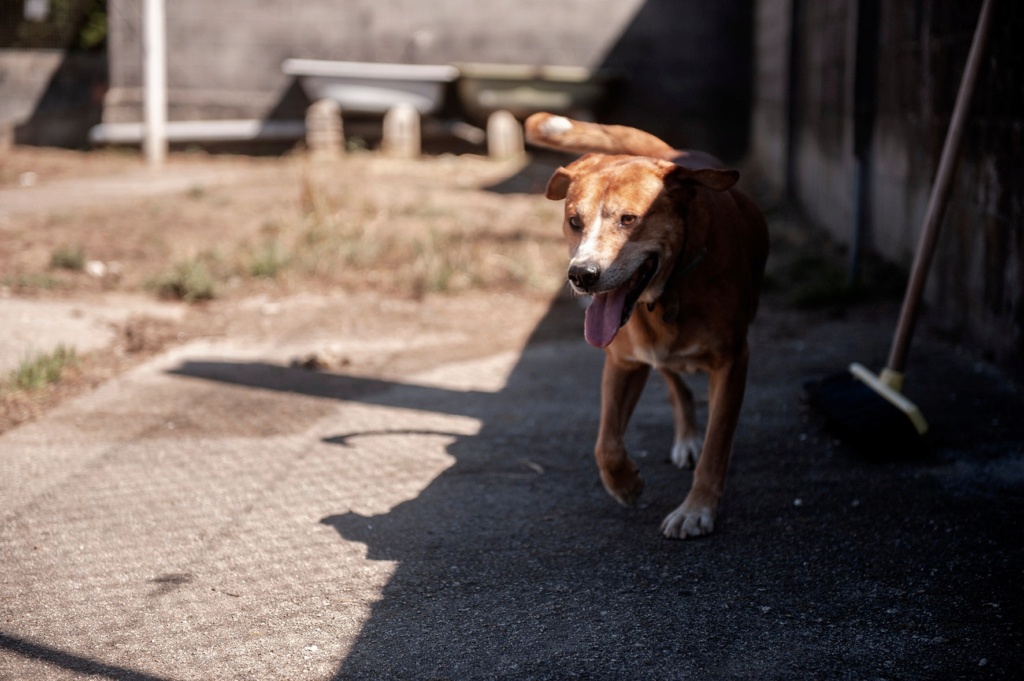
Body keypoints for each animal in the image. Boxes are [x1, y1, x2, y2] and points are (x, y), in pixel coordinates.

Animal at [528, 112, 770, 536]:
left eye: (629, 220)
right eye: (574, 221)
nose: (582, 275)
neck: (668, 293)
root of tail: (672, 157)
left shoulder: (732, 362)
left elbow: (717, 445)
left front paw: (696, 508)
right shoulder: (623, 363)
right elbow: (605, 443)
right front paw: (625, 483)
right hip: (653, 354)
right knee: (675, 383)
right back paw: (686, 436)